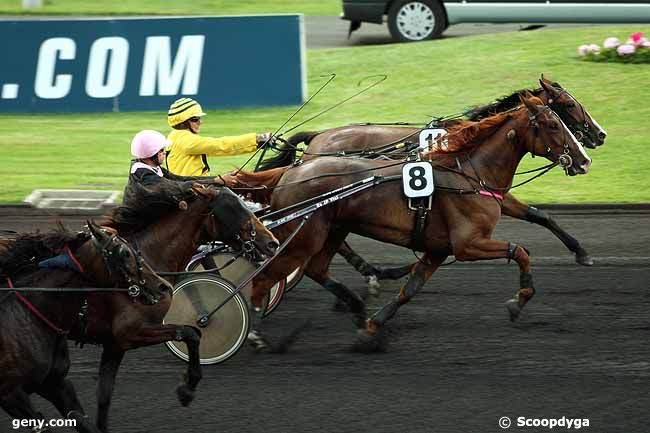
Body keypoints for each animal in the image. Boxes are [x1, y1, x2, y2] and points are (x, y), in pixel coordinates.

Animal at [247, 95, 588, 352]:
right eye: (553, 122)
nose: (585, 159)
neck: (470, 173)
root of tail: (291, 172)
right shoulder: (468, 245)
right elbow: (520, 251)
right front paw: (519, 300)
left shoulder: (439, 248)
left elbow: (410, 289)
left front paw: (371, 328)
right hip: (303, 235)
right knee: (267, 275)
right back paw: (256, 334)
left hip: (332, 230)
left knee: (316, 268)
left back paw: (357, 303)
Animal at [260, 79, 604, 292]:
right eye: (568, 106)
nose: (599, 135)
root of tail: (318, 137)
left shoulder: (491, 190)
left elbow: (539, 215)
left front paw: (581, 252)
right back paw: (372, 272)